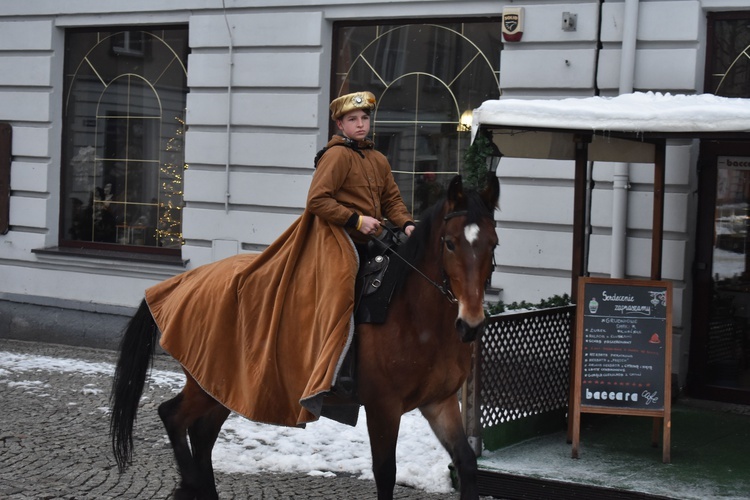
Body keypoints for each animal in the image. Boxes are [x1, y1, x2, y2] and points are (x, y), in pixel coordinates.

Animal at [110, 173, 500, 500]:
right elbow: (385, 473)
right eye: (449, 243)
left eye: (493, 243)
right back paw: (190, 485)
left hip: (222, 385)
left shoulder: (439, 402)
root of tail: (179, 283)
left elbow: (466, 462)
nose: (471, 323)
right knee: (173, 416)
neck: (416, 319)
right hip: (208, 382)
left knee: (201, 433)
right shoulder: (383, 407)